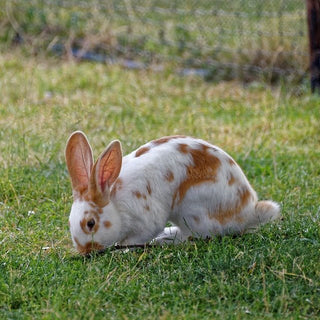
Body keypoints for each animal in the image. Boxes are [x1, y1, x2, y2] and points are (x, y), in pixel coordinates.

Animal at [65, 131, 280, 255]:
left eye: (90, 223)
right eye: (69, 222)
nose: (85, 251)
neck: (115, 202)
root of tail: (248, 212)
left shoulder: (146, 220)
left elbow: (136, 238)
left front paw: (123, 248)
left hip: (192, 210)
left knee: (194, 237)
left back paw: (164, 240)